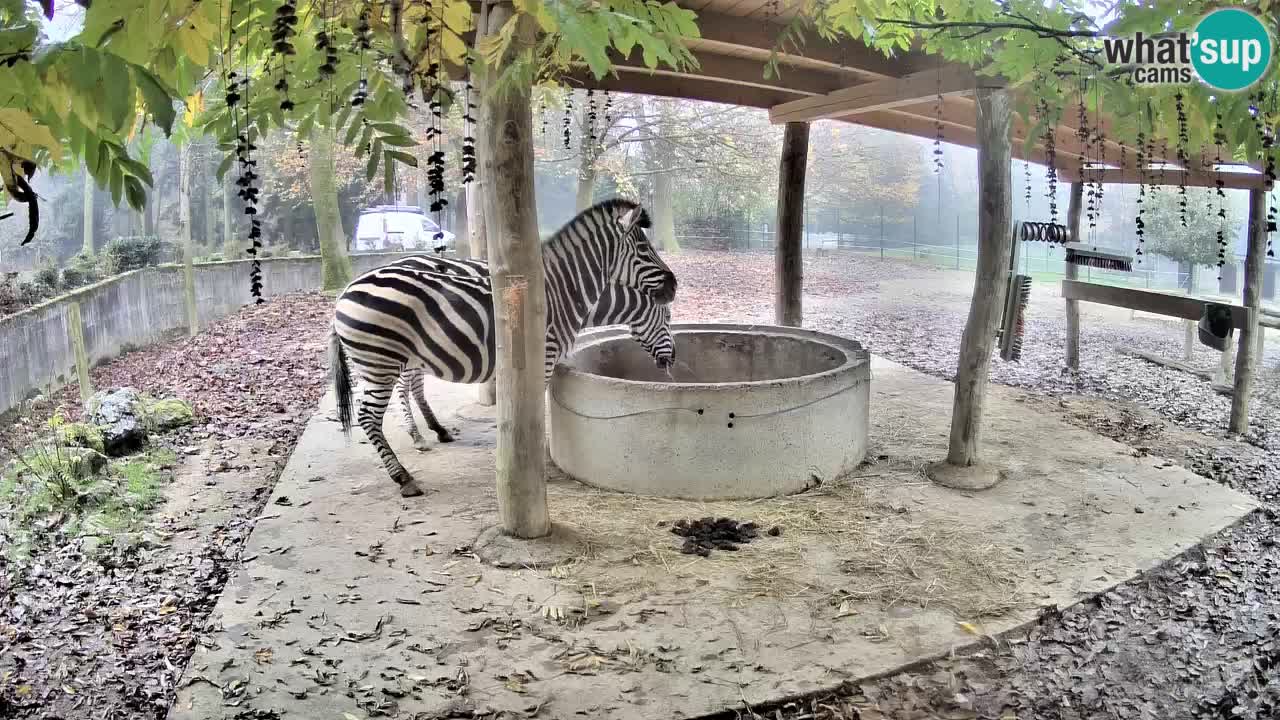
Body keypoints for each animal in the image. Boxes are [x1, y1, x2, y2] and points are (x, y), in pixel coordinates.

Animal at [381, 253, 675, 448]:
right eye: (670, 317)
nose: (672, 360)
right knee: (404, 386)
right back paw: (416, 434)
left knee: (414, 384)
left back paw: (437, 429)